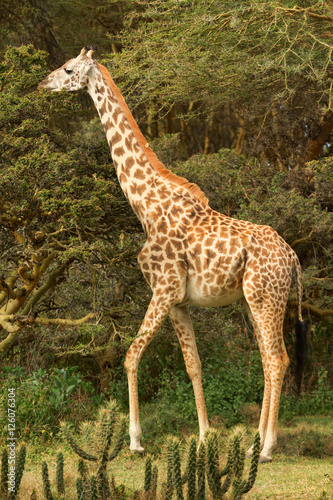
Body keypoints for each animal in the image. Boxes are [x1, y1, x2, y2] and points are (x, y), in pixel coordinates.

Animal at [38, 46, 306, 460]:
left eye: (68, 69)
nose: (42, 84)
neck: (146, 206)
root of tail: (293, 258)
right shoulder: (178, 300)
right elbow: (193, 364)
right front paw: (204, 436)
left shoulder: (163, 288)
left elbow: (132, 354)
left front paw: (135, 441)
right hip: (256, 300)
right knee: (268, 360)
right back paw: (252, 444)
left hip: (266, 298)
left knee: (277, 360)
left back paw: (265, 448)